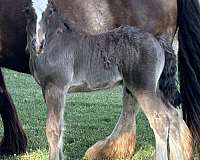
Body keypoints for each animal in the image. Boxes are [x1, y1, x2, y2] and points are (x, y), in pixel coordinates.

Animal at [0, 0, 199, 159]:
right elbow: (59, 126)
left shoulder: (56, 88)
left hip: (143, 88)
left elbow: (53, 129)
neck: (55, 42)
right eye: (27, 11)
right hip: (155, 88)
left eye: (50, 11)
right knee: (173, 116)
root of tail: (157, 40)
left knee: (160, 120)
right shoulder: (47, 89)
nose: (37, 44)